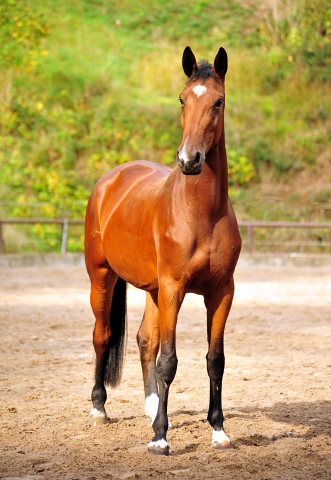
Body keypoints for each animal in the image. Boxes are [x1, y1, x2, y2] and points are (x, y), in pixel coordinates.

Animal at [85, 47, 241, 456]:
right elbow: (169, 361)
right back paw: (99, 408)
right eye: (183, 99)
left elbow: (215, 360)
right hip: (103, 277)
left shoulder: (221, 292)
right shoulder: (175, 288)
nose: (189, 160)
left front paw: (218, 431)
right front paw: (160, 437)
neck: (201, 213)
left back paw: (151, 405)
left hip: (154, 290)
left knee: (144, 340)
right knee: (103, 335)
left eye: (218, 101)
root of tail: (111, 179)